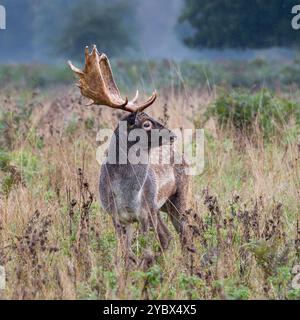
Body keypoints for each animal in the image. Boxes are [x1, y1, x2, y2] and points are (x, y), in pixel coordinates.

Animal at [69, 45, 191, 264]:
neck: (127, 195)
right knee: (167, 236)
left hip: (177, 198)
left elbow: (144, 252)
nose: (173, 134)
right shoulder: (116, 216)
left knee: (184, 234)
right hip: (161, 207)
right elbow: (126, 255)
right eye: (147, 123)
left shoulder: (145, 213)